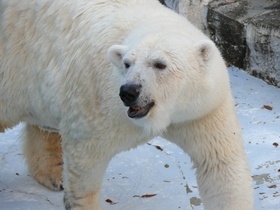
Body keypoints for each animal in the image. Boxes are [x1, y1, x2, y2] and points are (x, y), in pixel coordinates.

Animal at [0, 0, 254, 209]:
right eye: (127, 63)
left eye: (160, 64)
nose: (128, 92)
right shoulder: (98, 105)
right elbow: (86, 163)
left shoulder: (202, 109)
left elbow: (219, 165)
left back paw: (54, 174)